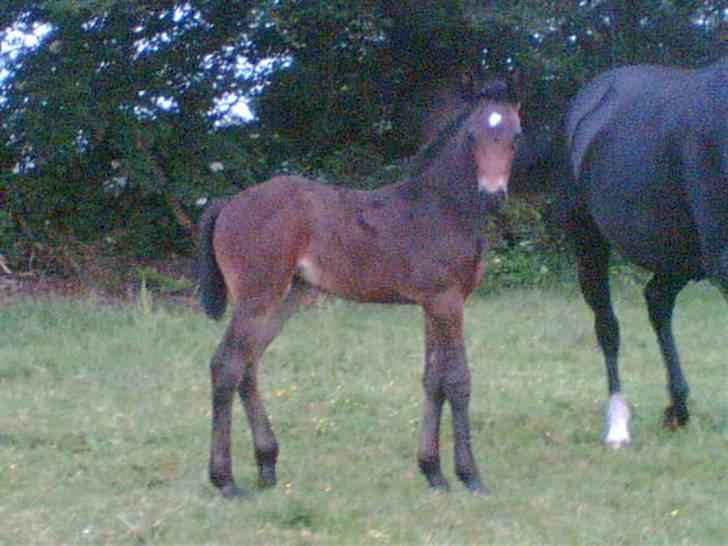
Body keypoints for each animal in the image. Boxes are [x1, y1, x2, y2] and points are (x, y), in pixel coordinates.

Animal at [198, 71, 524, 492]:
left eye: (516, 135)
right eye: (471, 135)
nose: (492, 194)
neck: (443, 207)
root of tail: (229, 203)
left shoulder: (432, 304)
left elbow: (432, 379)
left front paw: (432, 472)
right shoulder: (446, 301)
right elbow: (457, 380)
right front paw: (469, 475)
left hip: (288, 296)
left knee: (247, 365)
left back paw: (267, 466)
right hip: (258, 296)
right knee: (226, 365)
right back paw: (225, 481)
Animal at [564, 56, 724, 446]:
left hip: (680, 257)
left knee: (657, 300)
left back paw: (677, 410)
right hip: (589, 240)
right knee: (607, 326)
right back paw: (618, 425)